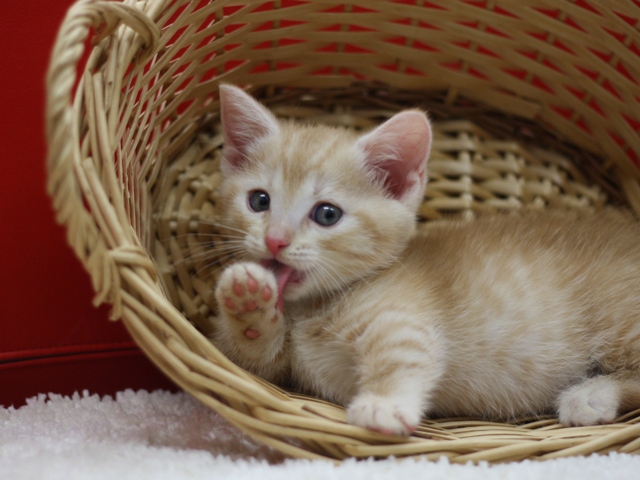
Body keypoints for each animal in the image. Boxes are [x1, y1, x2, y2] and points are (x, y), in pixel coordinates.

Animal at [209, 84, 640, 436]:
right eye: (259, 201)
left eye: (327, 214)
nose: (275, 240)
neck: (313, 309)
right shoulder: (281, 367)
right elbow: (256, 355)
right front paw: (247, 299)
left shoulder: (402, 319)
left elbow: (402, 355)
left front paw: (382, 404)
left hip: (619, 322)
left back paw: (590, 396)